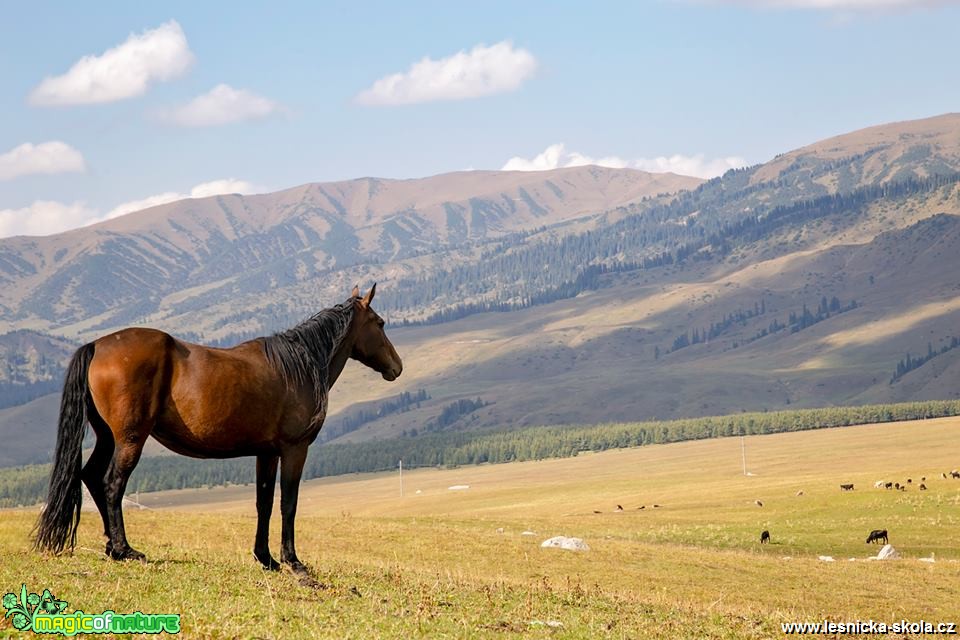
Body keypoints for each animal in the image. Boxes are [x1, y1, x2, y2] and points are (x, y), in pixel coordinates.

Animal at [33, 282, 402, 572]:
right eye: (380, 323)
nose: (397, 367)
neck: (297, 365)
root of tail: (97, 345)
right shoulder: (294, 449)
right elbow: (288, 503)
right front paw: (292, 560)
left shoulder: (266, 453)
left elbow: (264, 502)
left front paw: (265, 558)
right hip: (130, 440)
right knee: (112, 484)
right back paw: (125, 550)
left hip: (108, 437)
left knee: (92, 477)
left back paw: (112, 547)